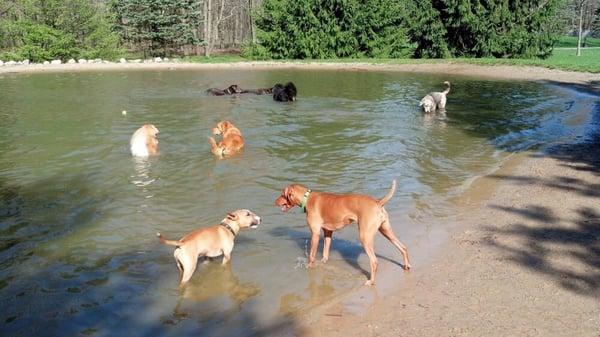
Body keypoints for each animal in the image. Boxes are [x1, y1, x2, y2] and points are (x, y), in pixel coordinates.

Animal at [276, 180, 408, 284]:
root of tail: (378, 202)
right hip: (386, 231)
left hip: (365, 237)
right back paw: (407, 266)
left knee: (374, 262)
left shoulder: (315, 233)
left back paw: (371, 281)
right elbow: (325, 252)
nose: (274, 201)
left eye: (282, 194)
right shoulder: (328, 232)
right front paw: (323, 262)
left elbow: (312, 255)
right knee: (403, 247)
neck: (307, 198)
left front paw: (310, 266)